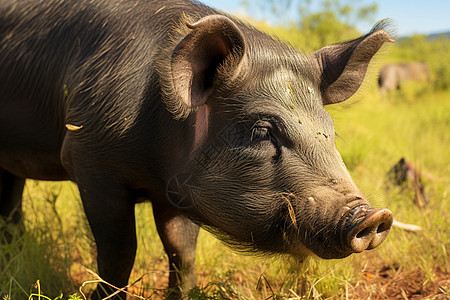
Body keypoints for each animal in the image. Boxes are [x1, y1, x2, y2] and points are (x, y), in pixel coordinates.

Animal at [0, 0, 394, 298]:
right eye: (262, 130)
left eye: (330, 132)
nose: (374, 216)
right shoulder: (88, 159)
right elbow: (120, 250)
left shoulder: (177, 190)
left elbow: (182, 250)